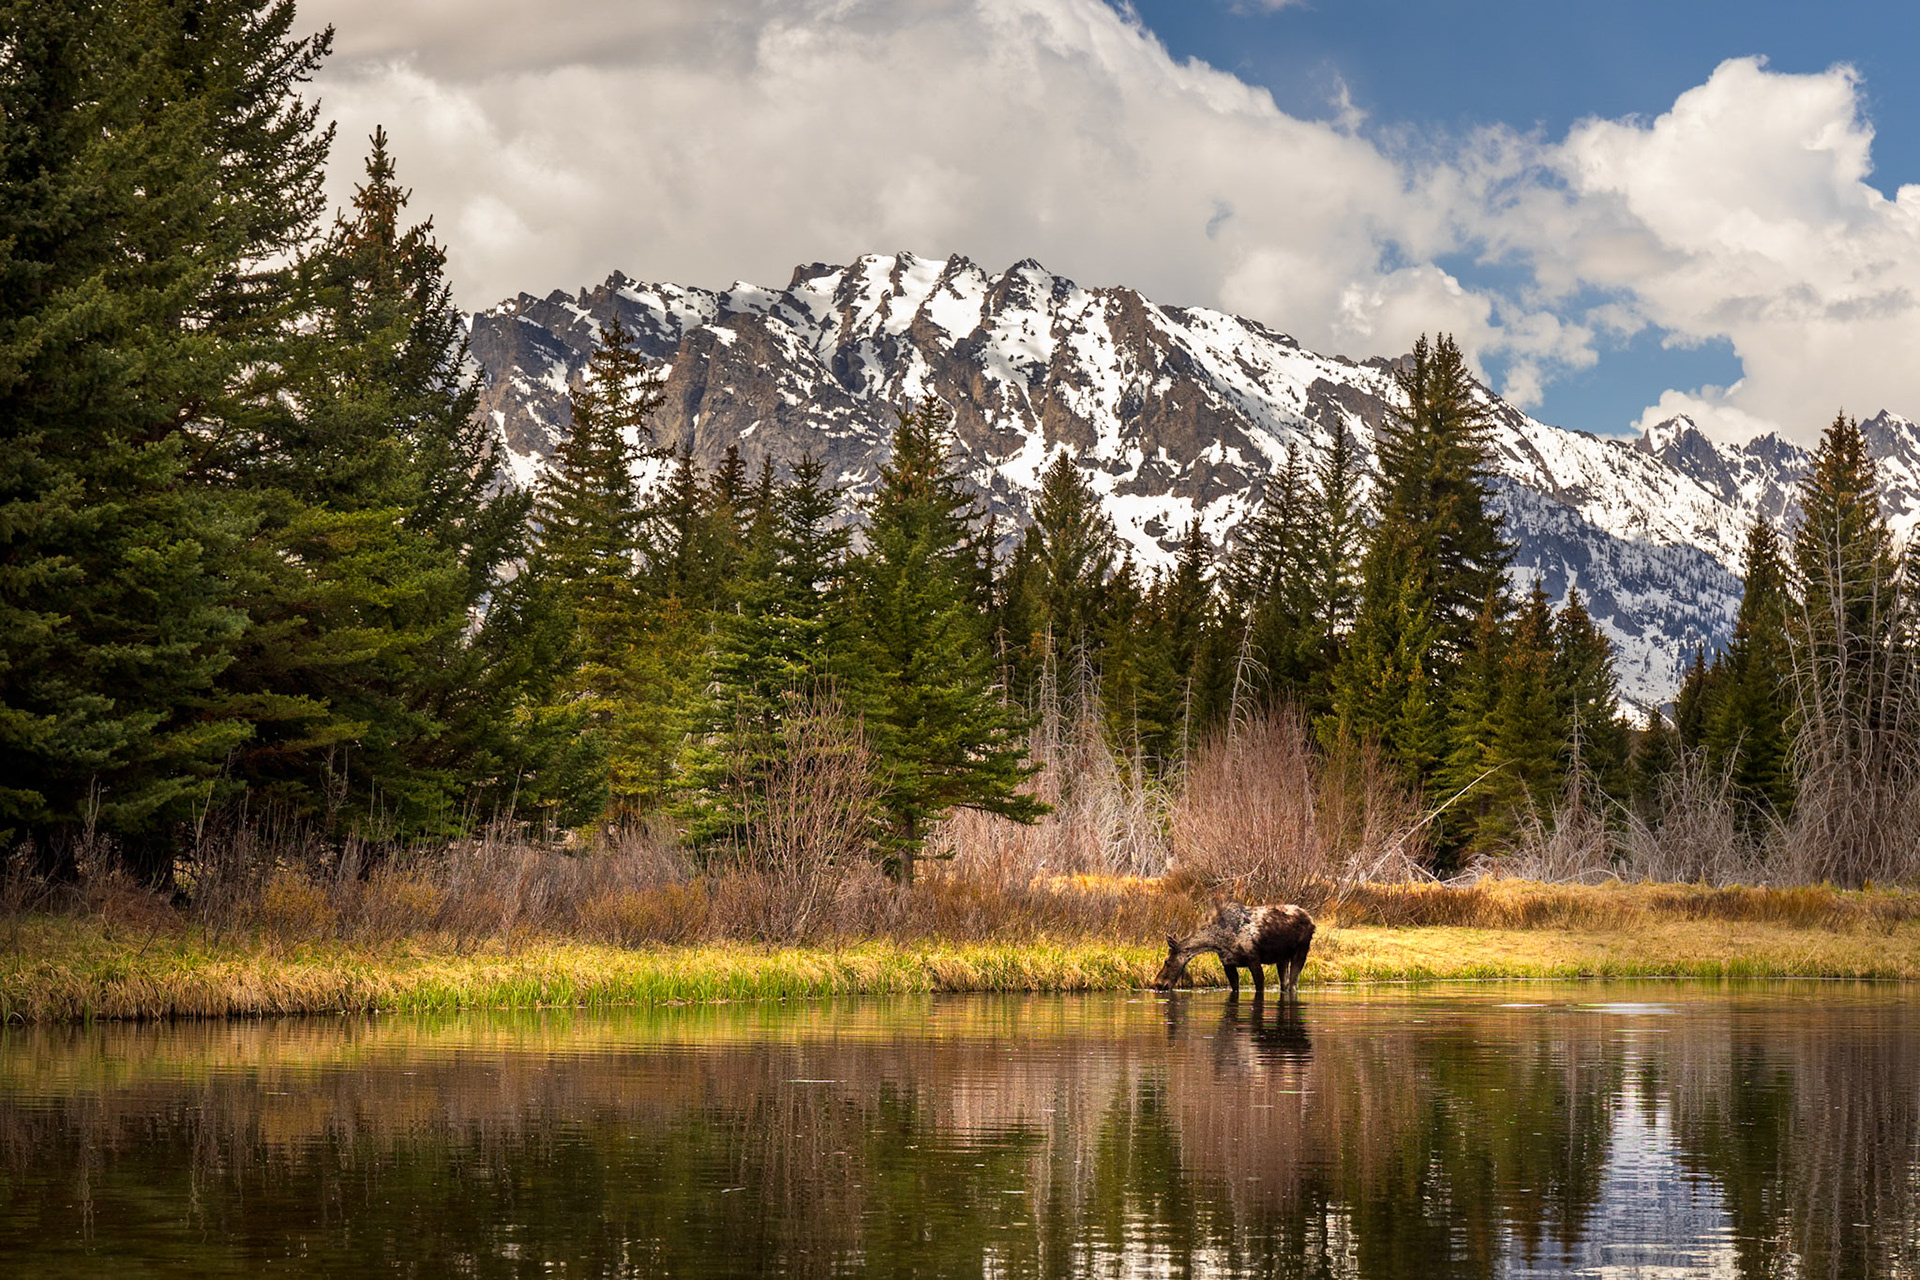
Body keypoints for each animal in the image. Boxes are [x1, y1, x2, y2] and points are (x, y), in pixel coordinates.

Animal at [1150, 899, 1315, 1000]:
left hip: (1301, 951)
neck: (1218, 941)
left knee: (1293, 985)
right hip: (1282, 958)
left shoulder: (1253, 960)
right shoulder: (1228, 964)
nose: (1157, 984)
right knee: (1285, 984)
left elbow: (1259, 987)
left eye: (1166, 961)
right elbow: (1235, 988)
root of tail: (1311, 920)